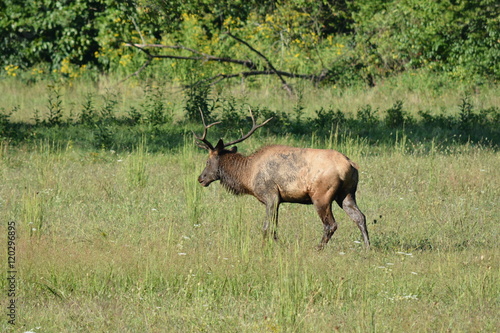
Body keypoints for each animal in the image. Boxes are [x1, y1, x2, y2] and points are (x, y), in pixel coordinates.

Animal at [193, 110, 370, 248]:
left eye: (207, 161)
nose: (200, 178)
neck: (247, 175)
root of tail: (350, 164)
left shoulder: (270, 195)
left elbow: (266, 227)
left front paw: (266, 246)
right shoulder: (278, 199)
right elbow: (274, 226)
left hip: (321, 196)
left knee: (330, 225)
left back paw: (317, 248)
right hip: (346, 193)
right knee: (360, 217)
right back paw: (368, 248)